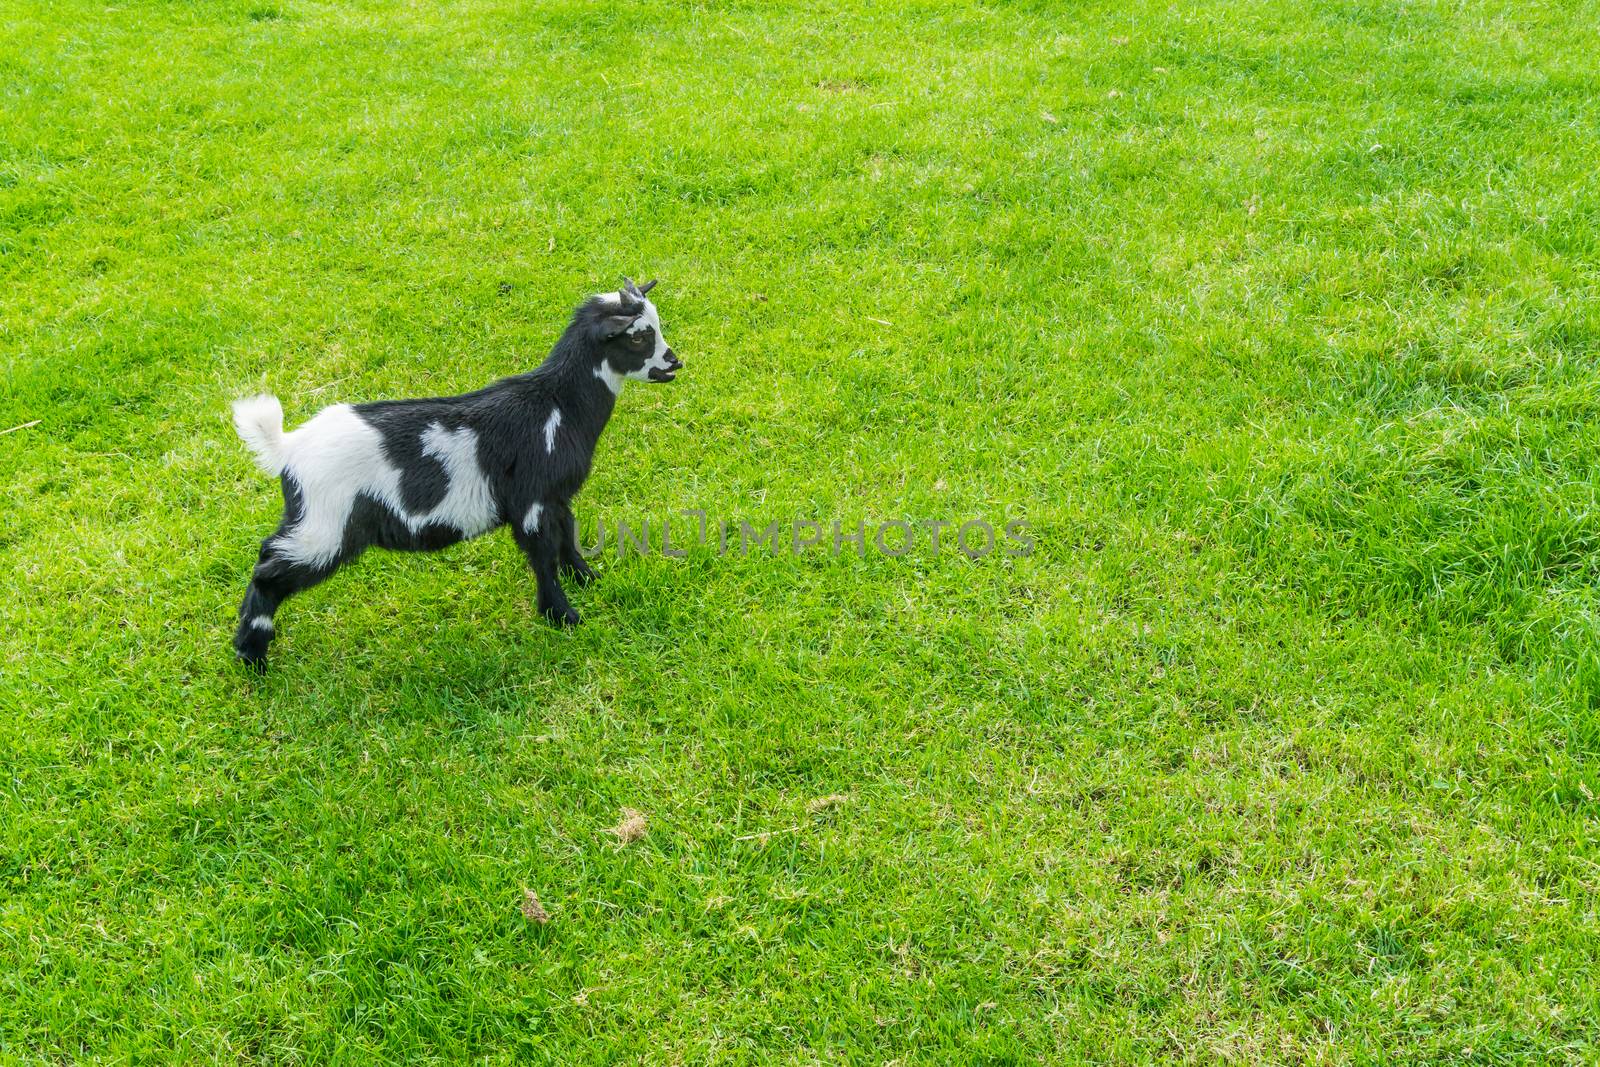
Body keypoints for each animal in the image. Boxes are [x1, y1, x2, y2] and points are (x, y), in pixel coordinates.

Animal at [228, 279, 678, 671]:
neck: (557, 404)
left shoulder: (555, 496)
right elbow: (543, 555)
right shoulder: (532, 500)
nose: (675, 363)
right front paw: (564, 616)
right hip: (327, 524)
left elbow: (567, 537)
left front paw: (588, 579)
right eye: (638, 337)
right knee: (268, 568)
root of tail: (288, 447)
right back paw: (252, 656)